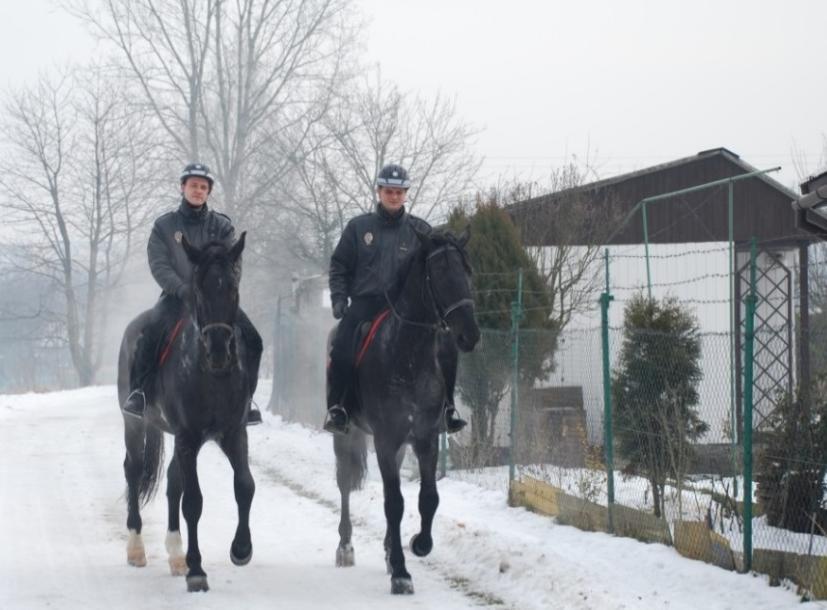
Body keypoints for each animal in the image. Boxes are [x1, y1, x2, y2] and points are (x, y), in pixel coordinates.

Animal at [117, 232, 256, 588]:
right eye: (198, 290)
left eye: (233, 287)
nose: (219, 350)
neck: (212, 375)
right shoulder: (188, 436)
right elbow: (193, 502)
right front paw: (196, 571)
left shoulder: (234, 433)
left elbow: (245, 486)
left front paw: (241, 550)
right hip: (135, 423)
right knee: (133, 471)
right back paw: (136, 549)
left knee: (172, 483)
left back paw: (176, 555)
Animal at [334, 226, 482, 592]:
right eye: (440, 273)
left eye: (467, 271)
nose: (470, 335)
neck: (408, 354)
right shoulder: (386, 440)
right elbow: (394, 503)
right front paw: (401, 573)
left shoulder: (425, 438)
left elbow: (428, 498)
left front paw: (419, 544)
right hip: (347, 434)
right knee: (344, 483)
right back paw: (345, 547)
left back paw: (389, 550)